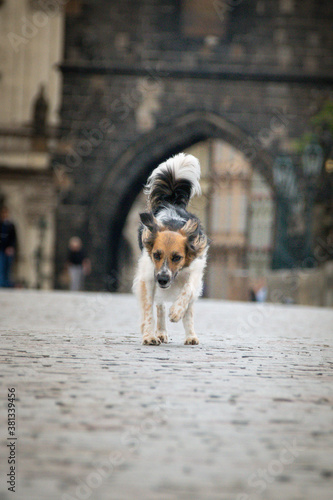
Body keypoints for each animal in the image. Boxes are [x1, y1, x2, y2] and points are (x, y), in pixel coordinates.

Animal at [132, 152, 208, 346]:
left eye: (177, 257)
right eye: (156, 255)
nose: (163, 280)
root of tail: (171, 202)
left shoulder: (194, 272)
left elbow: (187, 292)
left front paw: (176, 312)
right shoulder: (148, 277)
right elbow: (149, 310)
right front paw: (149, 336)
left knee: (189, 310)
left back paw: (190, 335)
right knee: (159, 307)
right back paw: (160, 332)